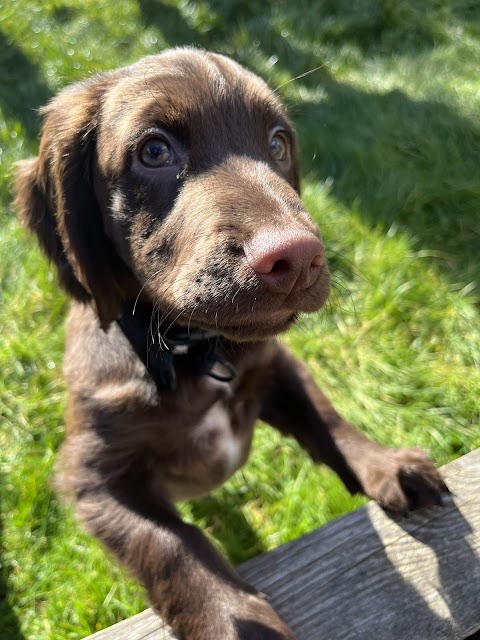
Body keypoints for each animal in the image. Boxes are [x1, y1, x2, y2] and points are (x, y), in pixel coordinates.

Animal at [15, 47, 450, 636]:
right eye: (154, 151)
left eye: (278, 143)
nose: (297, 257)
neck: (193, 353)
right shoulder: (92, 477)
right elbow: (173, 545)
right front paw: (233, 618)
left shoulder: (277, 365)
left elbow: (327, 419)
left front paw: (386, 463)